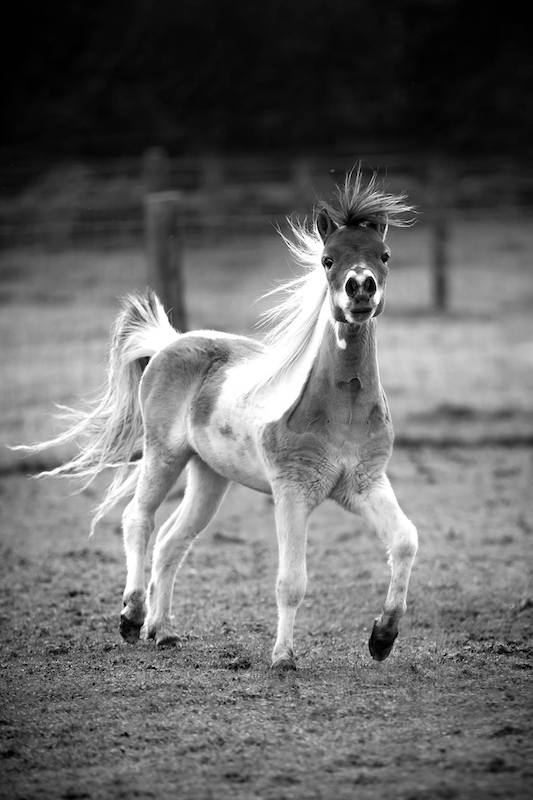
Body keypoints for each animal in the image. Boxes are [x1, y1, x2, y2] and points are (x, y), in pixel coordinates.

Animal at [15, 168, 418, 670]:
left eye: (384, 255)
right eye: (327, 260)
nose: (360, 288)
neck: (338, 409)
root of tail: (169, 342)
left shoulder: (364, 485)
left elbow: (405, 540)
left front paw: (382, 637)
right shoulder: (292, 493)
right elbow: (292, 580)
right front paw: (283, 657)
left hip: (210, 476)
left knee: (172, 541)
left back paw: (163, 631)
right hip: (163, 456)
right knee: (138, 519)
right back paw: (132, 617)